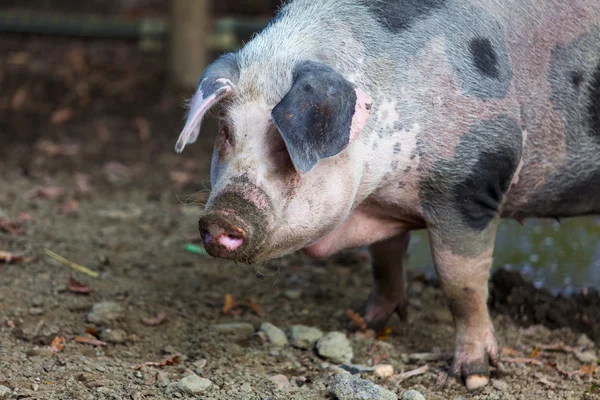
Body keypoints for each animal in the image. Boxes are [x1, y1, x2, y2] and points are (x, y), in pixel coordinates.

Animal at [176, 0, 600, 390]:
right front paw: (360, 323)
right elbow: (384, 260)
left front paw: (474, 377)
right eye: (226, 131)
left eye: (283, 143)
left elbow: (461, 285)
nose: (222, 216)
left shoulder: (472, 185)